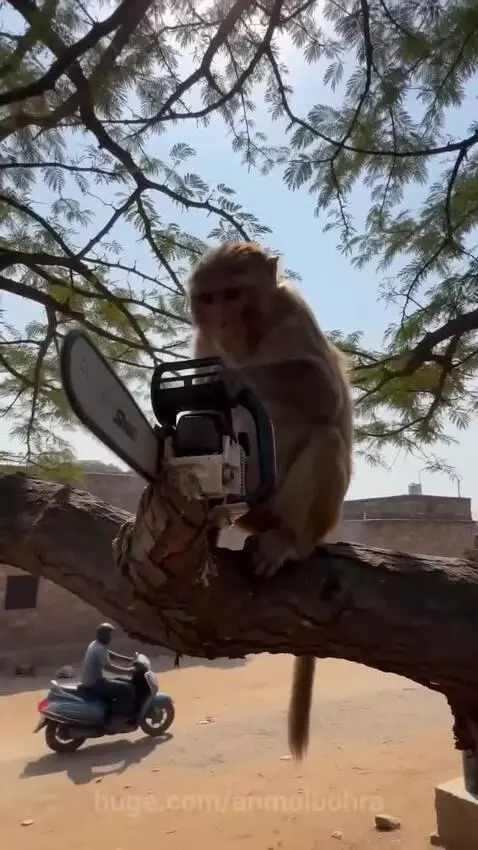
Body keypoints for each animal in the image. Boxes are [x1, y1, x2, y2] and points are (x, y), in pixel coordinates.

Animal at [187, 241, 353, 760]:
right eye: (209, 298)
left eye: (234, 294)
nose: (223, 323)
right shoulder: (203, 342)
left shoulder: (295, 313)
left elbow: (323, 389)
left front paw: (234, 378)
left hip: (314, 511)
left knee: (326, 437)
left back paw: (288, 541)